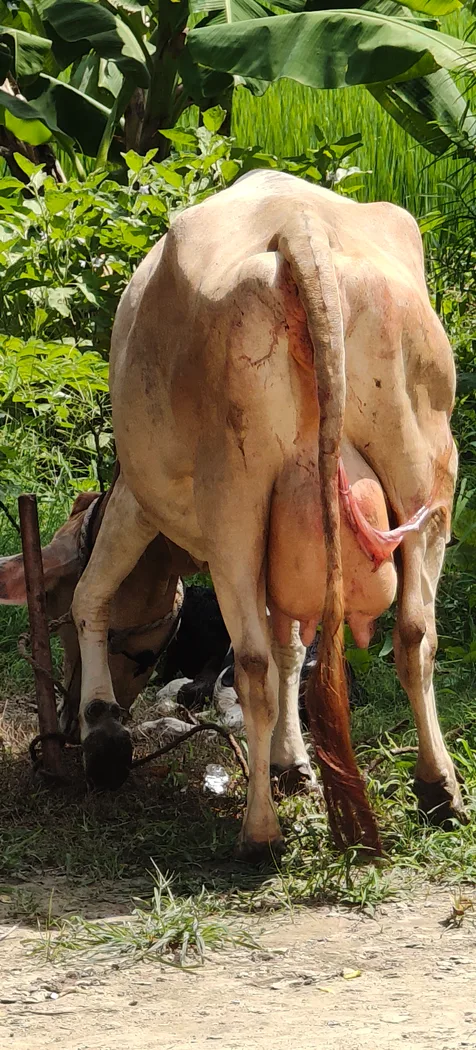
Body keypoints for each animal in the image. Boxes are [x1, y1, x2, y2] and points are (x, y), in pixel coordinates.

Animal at [6, 168, 468, 858]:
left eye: (55, 623)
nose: (61, 720)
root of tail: (299, 226)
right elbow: (292, 646)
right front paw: (291, 762)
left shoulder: (138, 501)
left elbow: (94, 594)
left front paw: (102, 733)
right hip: (423, 471)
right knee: (414, 634)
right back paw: (440, 790)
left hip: (234, 501)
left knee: (250, 661)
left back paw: (259, 835)